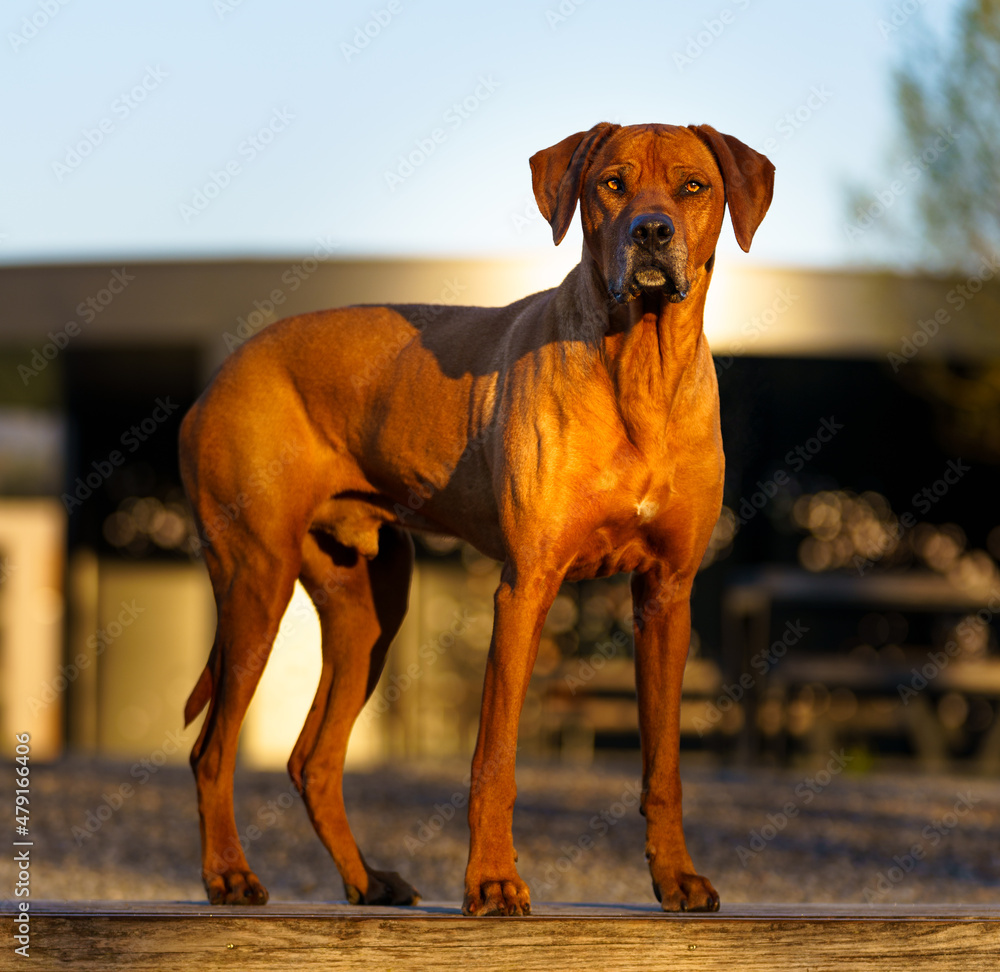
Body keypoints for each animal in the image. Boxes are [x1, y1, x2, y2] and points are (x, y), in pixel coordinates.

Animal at [180, 121, 772, 912]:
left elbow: (665, 764)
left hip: (369, 609)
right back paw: (229, 874)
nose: (652, 232)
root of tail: (220, 376)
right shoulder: (525, 587)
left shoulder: (667, 595)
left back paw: (367, 881)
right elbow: (495, 758)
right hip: (257, 581)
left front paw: (675, 876)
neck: (641, 371)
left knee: (313, 759)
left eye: (693, 186)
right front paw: (492, 880)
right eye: (611, 184)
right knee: (211, 750)